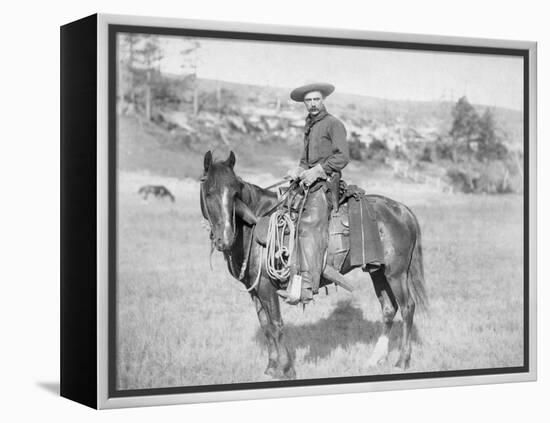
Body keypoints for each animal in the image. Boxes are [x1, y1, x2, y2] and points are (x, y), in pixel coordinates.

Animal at [201, 151, 430, 380]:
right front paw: (271, 367)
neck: (255, 225)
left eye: (234, 193)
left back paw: (402, 361)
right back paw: (376, 359)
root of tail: (402, 210)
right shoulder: (255, 290)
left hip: (396, 273)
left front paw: (286, 369)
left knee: (407, 308)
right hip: (378, 272)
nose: (225, 239)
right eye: (209, 192)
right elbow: (266, 326)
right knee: (389, 308)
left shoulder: (266, 287)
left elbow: (276, 325)